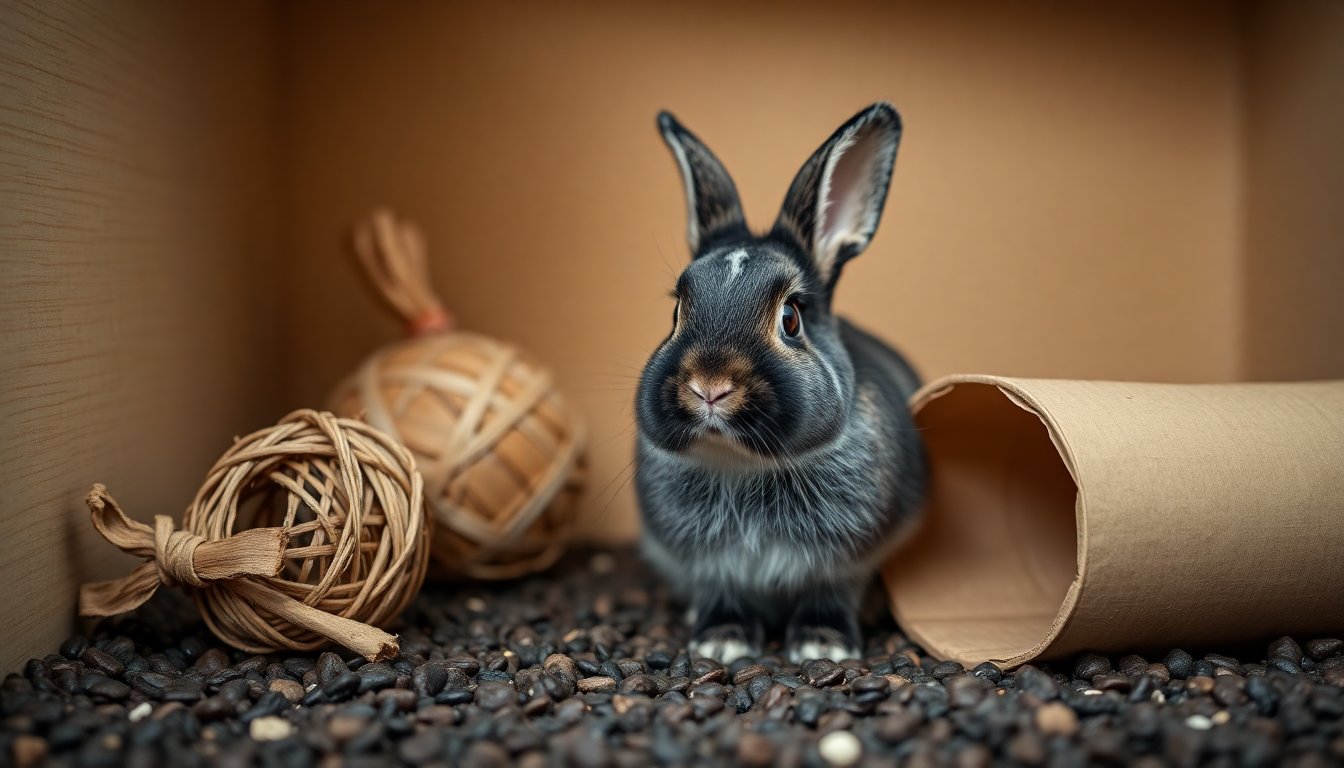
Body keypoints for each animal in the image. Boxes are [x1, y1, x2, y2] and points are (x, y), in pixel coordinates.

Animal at [634, 103, 927, 664]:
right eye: (676, 312)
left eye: (791, 318)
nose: (709, 386)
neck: (743, 465)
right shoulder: (709, 565)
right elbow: (721, 593)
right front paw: (720, 643)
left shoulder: (847, 560)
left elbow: (829, 594)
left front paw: (822, 647)